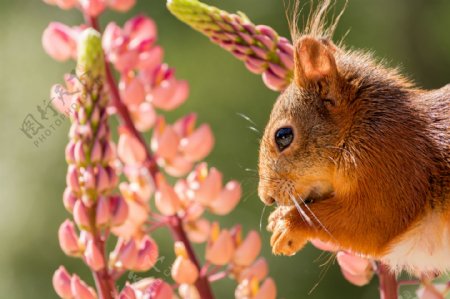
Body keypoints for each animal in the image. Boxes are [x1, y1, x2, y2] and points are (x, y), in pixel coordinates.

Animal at [258, 1, 450, 276]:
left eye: (283, 136)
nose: (267, 198)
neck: (359, 127)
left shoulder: (392, 165)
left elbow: (369, 223)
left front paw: (288, 224)